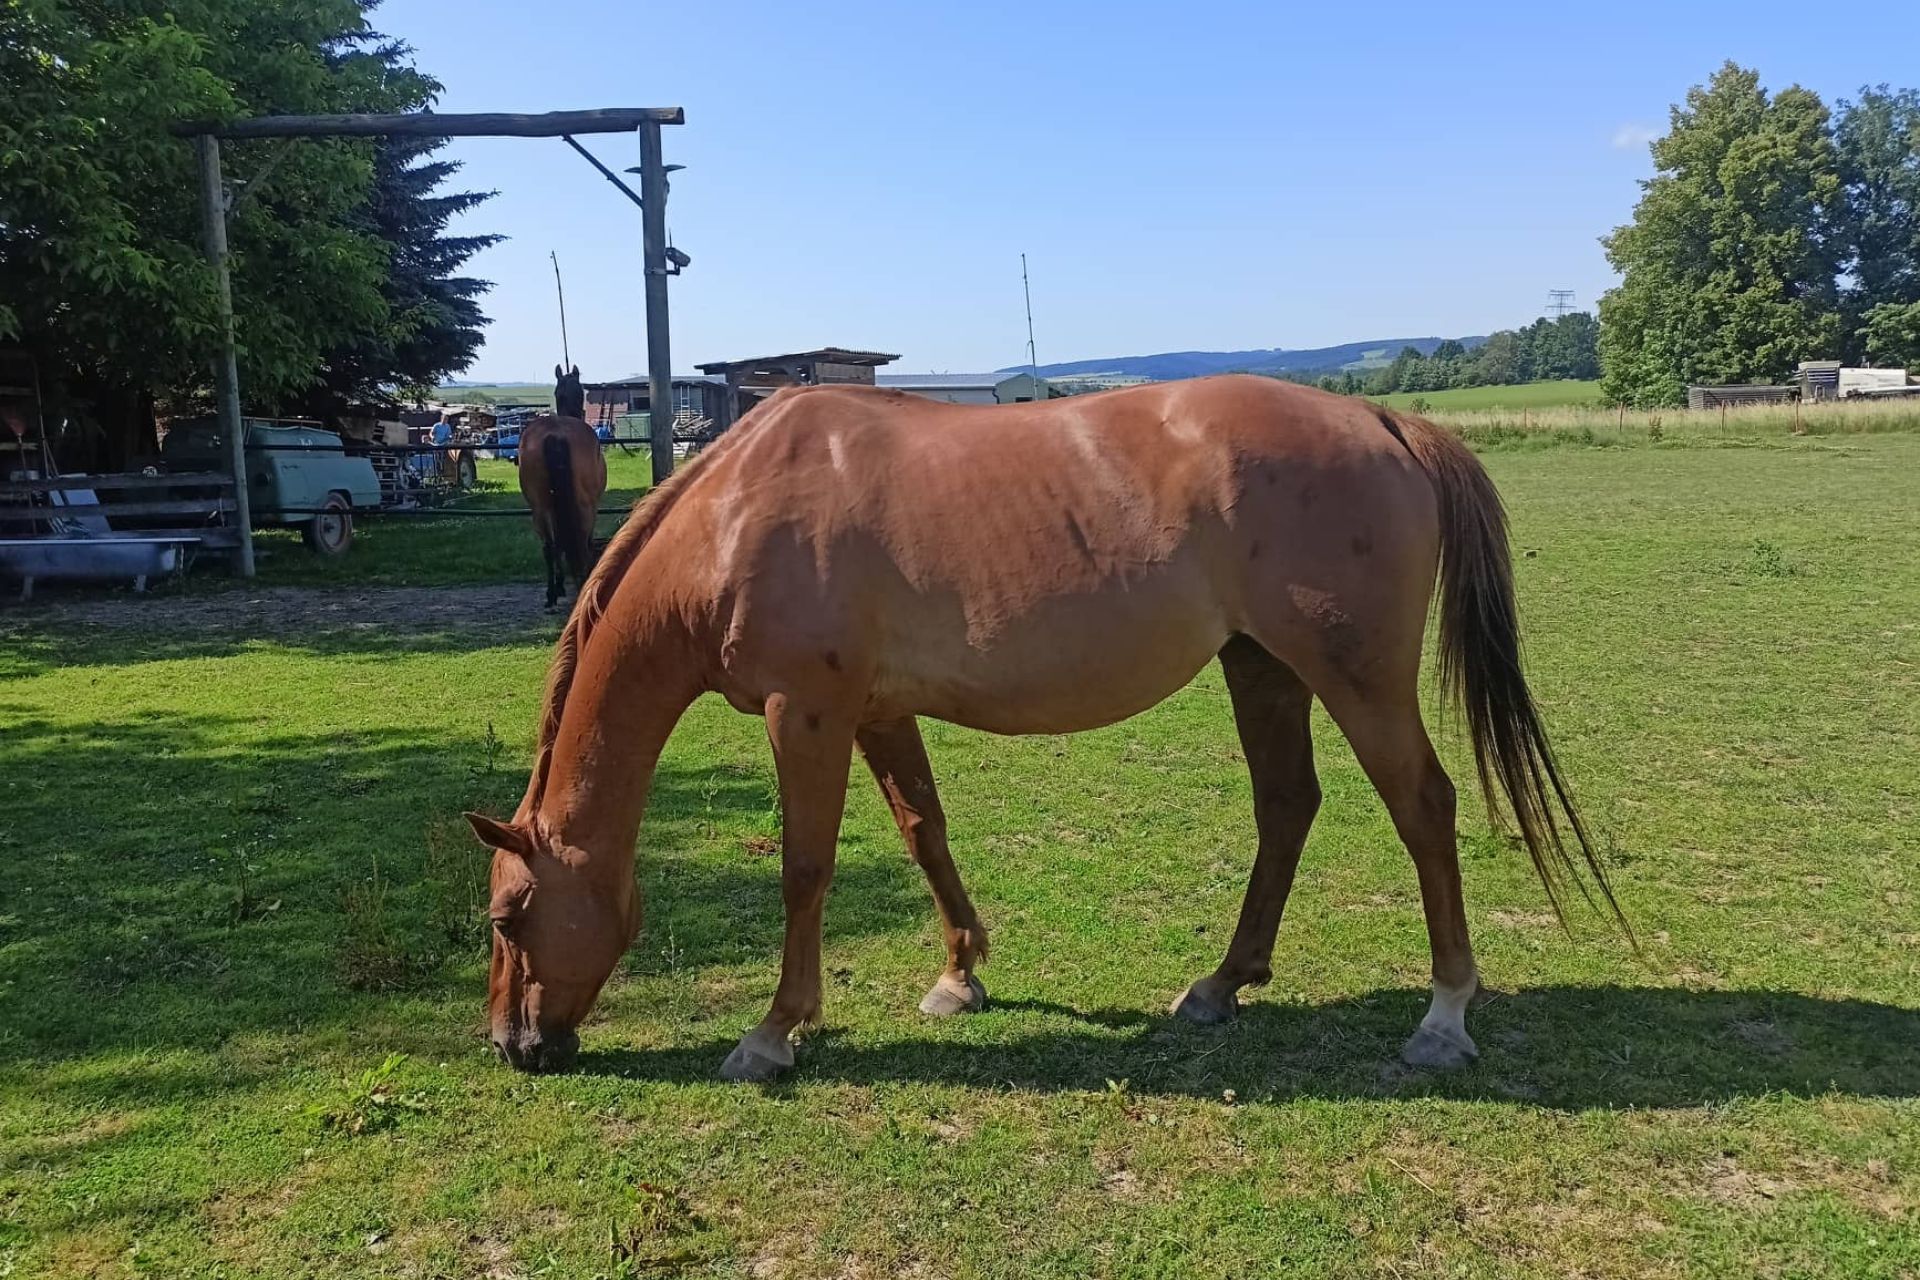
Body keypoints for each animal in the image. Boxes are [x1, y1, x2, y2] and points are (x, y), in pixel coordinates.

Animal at [518, 368, 606, 614]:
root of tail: (555, 434)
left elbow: (557, 543)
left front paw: (558, 587)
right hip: (584, 507)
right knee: (581, 543)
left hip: (539, 508)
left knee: (549, 547)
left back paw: (551, 596)